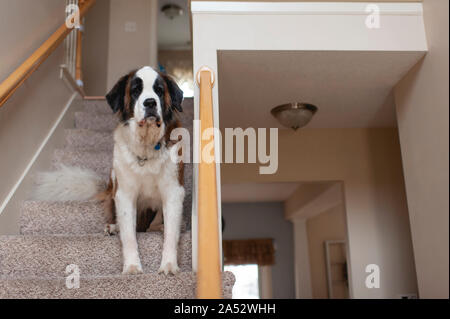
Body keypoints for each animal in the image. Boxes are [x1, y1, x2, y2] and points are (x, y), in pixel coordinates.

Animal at [33, 66, 185, 276]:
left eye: (159, 90)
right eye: (136, 90)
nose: (150, 102)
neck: (146, 144)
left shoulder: (173, 191)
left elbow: (171, 233)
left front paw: (169, 265)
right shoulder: (124, 193)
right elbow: (129, 235)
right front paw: (131, 266)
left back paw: (158, 227)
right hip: (114, 178)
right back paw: (115, 227)